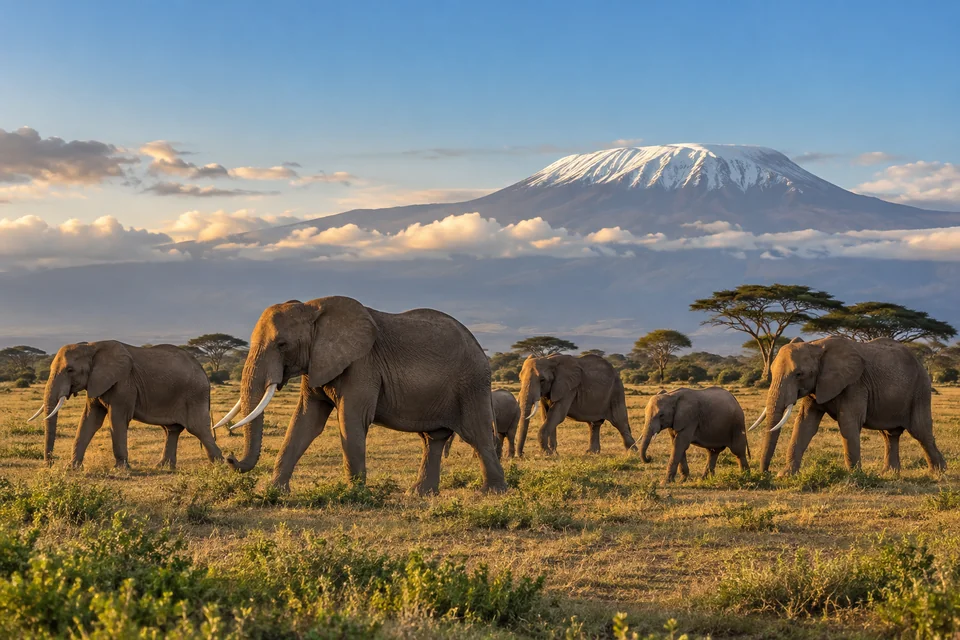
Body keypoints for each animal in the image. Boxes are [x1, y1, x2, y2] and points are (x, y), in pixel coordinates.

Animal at [27, 340, 222, 469]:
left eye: (70, 370)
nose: (50, 463)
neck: (91, 346)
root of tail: (204, 372)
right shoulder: (96, 381)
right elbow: (90, 420)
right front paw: (72, 468)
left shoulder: (124, 383)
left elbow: (117, 419)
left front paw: (121, 469)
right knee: (171, 430)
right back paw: (163, 467)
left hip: (194, 394)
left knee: (198, 428)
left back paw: (219, 466)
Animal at [215, 296, 507, 495]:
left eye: (282, 345)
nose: (229, 456)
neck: (312, 308)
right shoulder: (317, 362)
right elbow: (305, 422)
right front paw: (274, 491)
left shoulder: (362, 365)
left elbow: (351, 420)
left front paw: (354, 494)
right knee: (432, 440)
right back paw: (419, 493)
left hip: (472, 384)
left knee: (477, 435)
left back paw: (493, 491)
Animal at [753, 336, 946, 476]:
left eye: (799, 374)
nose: (765, 473)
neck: (816, 346)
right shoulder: (817, 387)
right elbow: (805, 423)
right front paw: (785, 475)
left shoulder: (855, 384)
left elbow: (848, 422)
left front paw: (853, 476)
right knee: (889, 434)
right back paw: (889, 474)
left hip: (920, 389)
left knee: (921, 431)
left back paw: (938, 472)